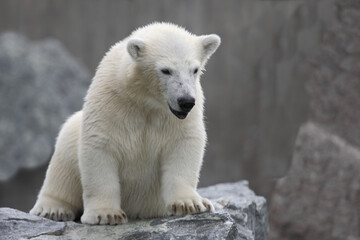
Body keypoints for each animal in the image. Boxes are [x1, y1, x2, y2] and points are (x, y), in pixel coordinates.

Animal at [29, 22, 221, 225]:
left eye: (195, 69)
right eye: (166, 70)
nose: (185, 101)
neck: (146, 101)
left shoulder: (180, 116)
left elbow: (183, 145)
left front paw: (190, 203)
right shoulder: (111, 102)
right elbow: (100, 146)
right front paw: (106, 214)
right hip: (71, 135)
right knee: (63, 163)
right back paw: (52, 209)